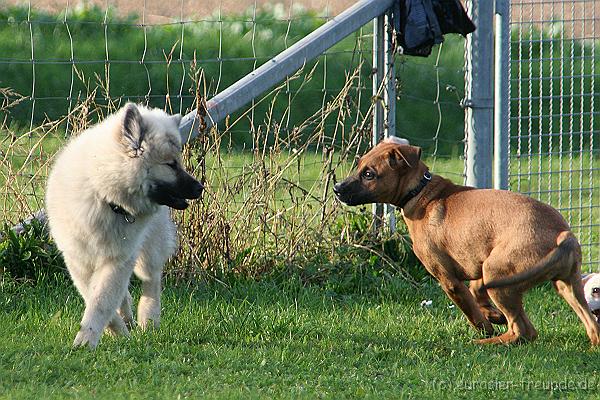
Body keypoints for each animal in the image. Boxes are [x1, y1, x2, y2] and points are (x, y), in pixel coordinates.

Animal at [332, 137, 600, 344]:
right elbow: (475, 290)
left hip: (500, 276)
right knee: (592, 327)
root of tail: (563, 235)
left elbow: (469, 308)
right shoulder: (480, 263)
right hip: (565, 285)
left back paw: (488, 341)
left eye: (369, 174)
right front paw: (492, 315)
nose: (336, 188)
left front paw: (486, 325)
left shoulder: (449, 279)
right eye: (358, 166)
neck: (421, 192)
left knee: (524, 331)